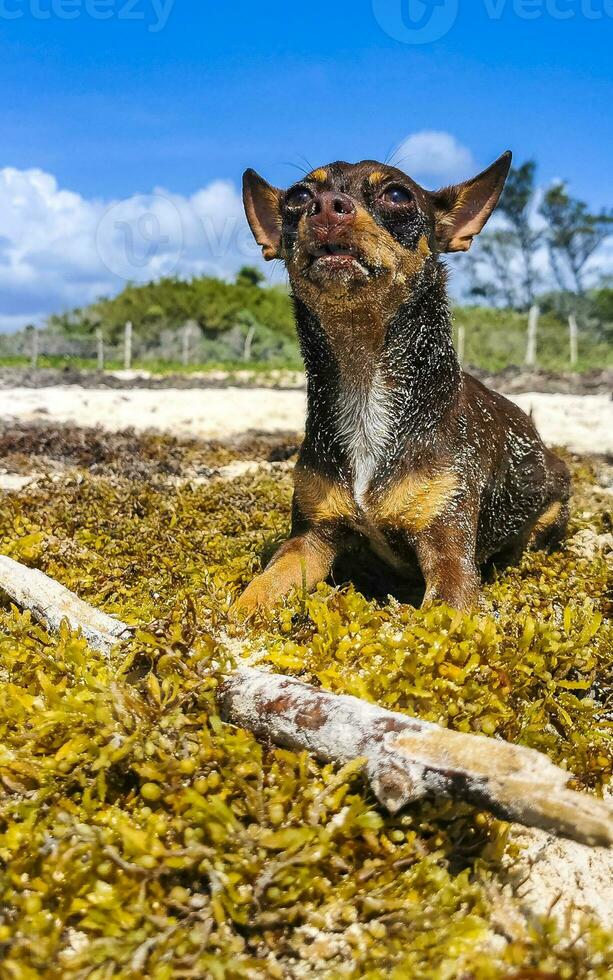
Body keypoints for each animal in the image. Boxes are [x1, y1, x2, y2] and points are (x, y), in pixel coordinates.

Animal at [233, 150, 568, 616]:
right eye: (299, 196)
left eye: (397, 195)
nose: (326, 206)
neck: (364, 377)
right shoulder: (308, 542)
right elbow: (261, 588)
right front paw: (227, 622)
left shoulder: (450, 557)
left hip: (551, 509)